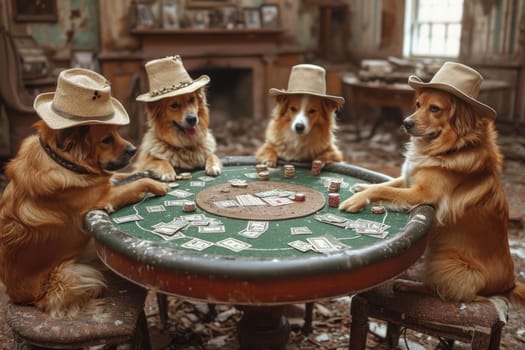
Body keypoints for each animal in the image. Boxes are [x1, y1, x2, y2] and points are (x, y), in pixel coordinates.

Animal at [0, 67, 168, 318]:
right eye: (106, 140)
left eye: (117, 132)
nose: (133, 149)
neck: (63, 162)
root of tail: (20, 299)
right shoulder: (102, 198)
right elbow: (136, 184)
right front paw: (156, 185)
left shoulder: (106, 181)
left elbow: (126, 175)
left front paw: (155, 171)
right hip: (68, 274)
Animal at [340, 62, 524, 306]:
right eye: (418, 105)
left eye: (435, 109)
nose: (405, 123)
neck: (449, 147)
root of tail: (508, 285)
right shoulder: (410, 178)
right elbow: (391, 182)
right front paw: (362, 188)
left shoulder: (423, 193)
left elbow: (384, 187)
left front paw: (356, 200)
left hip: (446, 262)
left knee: (441, 291)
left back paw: (408, 285)